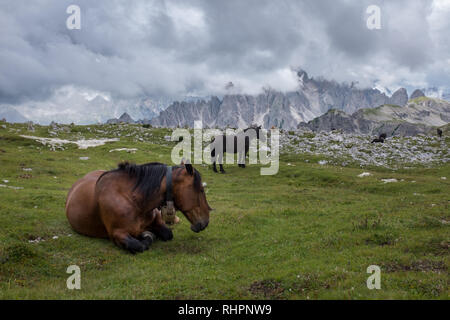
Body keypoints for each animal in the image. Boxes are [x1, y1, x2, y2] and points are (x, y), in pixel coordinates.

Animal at [65, 161, 213, 254]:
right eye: (201, 190)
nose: (206, 222)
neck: (135, 202)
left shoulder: (158, 222)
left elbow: (168, 234)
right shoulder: (117, 233)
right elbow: (139, 245)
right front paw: (145, 235)